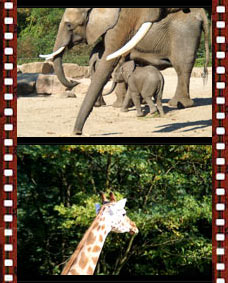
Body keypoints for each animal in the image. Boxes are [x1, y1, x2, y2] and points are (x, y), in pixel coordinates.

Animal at [40, 7, 208, 134]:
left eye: (69, 25)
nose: (77, 133)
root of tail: (202, 14)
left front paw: (118, 107)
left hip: (183, 33)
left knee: (182, 66)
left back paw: (179, 104)